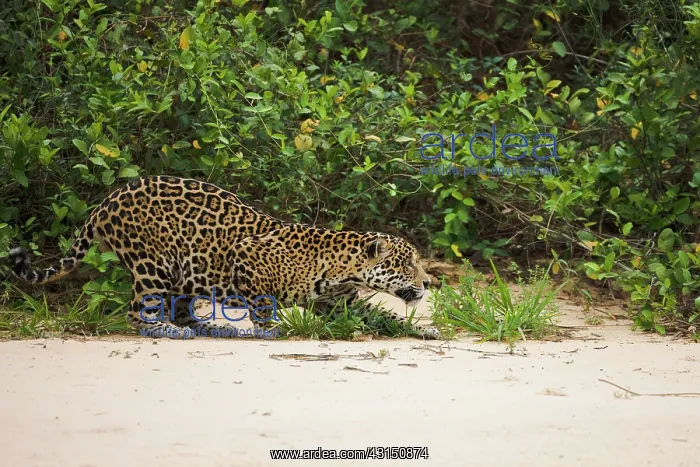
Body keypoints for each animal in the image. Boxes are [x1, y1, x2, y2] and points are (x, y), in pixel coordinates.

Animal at [7, 175, 440, 339]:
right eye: (407, 264)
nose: (428, 283)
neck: (343, 269)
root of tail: (107, 201)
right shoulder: (248, 257)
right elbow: (263, 303)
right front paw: (269, 331)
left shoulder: (344, 303)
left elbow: (383, 316)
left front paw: (425, 331)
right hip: (153, 264)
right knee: (138, 311)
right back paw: (168, 330)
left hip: (180, 273)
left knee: (182, 308)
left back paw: (212, 328)